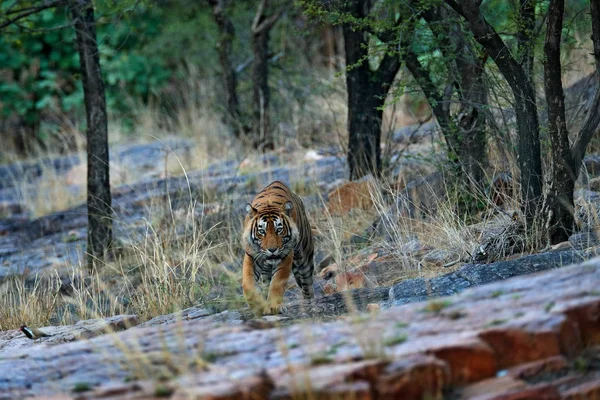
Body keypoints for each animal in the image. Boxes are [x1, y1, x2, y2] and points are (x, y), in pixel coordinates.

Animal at [241, 180, 316, 314]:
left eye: (279, 230)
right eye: (262, 231)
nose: (272, 250)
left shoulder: (285, 255)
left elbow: (277, 283)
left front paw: (275, 306)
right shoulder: (251, 255)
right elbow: (248, 284)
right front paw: (259, 306)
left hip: (305, 257)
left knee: (307, 283)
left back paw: (309, 305)